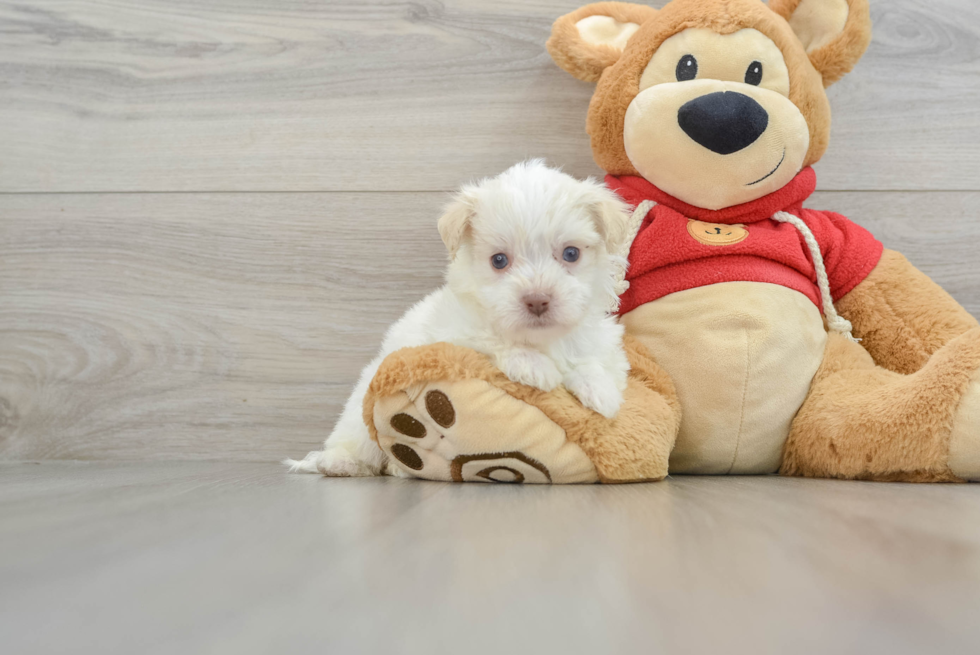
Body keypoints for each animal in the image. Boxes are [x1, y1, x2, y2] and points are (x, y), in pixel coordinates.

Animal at [288, 159, 632, 476]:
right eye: (499, 260)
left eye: (571, 253)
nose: (536, 300)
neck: (540, 338)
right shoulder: (452, 333)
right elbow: (491, 338)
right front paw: (534, 366)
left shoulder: (598, 339)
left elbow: (593, 359)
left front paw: (600, 391)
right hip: (359, 412)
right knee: (359, 442)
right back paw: (339, 462)